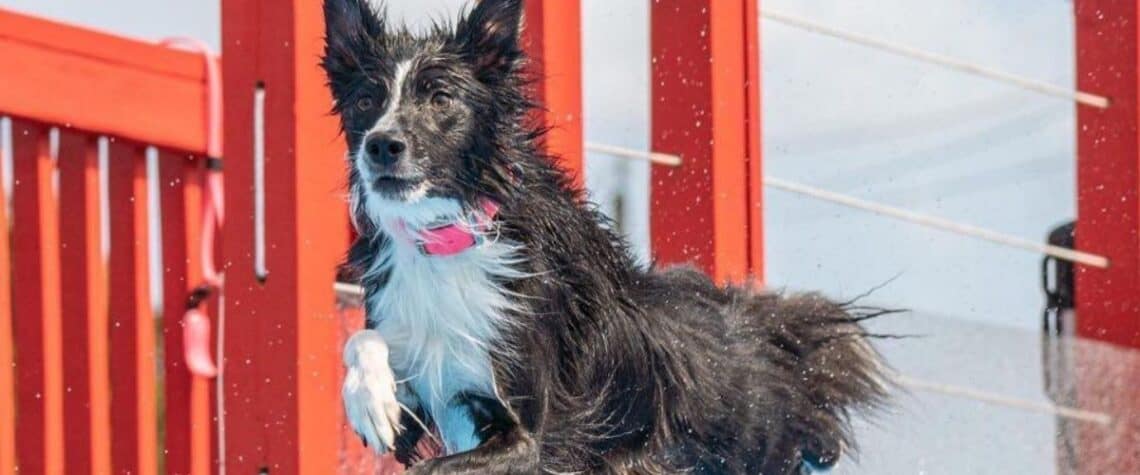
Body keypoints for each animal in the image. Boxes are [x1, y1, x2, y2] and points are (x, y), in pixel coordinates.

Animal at [323, 0, 889, 469]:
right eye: (366, 100)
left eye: (440, 98)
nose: (382, 145)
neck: (445, 240)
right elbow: (361, 342)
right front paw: (370, 402)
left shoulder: (528, 436)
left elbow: (442, 465)